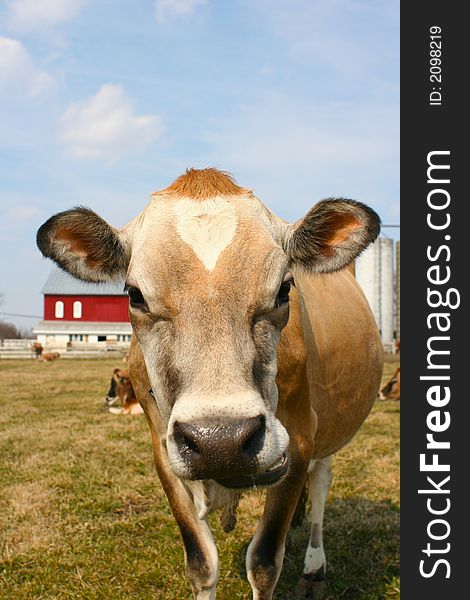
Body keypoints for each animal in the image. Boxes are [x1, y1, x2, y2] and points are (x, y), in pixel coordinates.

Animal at [35, 169, 382, 600]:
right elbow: (201, 562)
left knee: (320, 485)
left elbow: (264, 563)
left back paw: (314, 567)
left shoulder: (301, 438)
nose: (222, 440)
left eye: (285, 288)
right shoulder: (163, 449)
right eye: (135, 294)